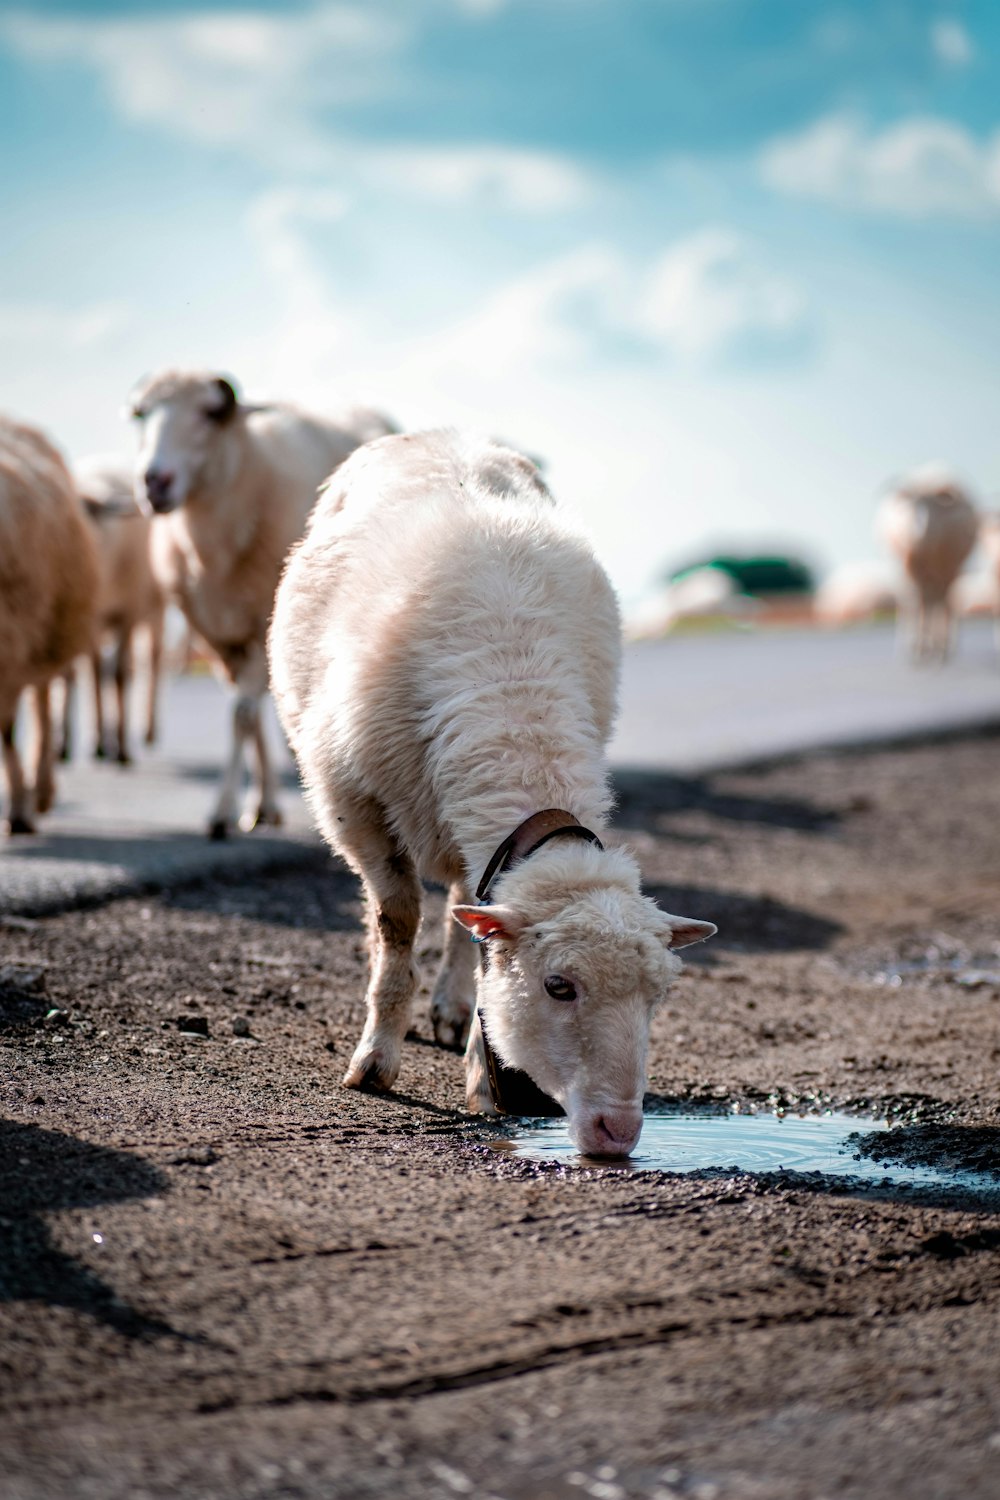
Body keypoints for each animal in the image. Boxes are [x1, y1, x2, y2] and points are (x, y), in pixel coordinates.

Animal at [62, 453, 166, 762]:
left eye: (91, 520)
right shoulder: (84, 621)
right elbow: (84, 674)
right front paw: (72, 743)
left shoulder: (128, 614)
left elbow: (119, 674)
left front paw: (121, 750)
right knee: (98, 672)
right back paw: (100, 740)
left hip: (155, 609)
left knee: (150, 661)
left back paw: (146, 731)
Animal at [131, 369, 395, 840]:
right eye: (140, 414)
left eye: (211, 413)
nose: (153, 481)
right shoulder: (218, 635)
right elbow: (250, 718)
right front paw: (258, 806)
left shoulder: (259, 624)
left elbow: (241, 715)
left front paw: (222, 811)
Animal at [269, 435, 716, 1158]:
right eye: (558, 986)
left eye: (658, 998)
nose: (618, 1132)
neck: (517, 705)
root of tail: (438, 432)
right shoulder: (353, 804)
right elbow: (397, 921)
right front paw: (375, 1061)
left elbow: (473, 933)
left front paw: (481, 1072)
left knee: (462, 901)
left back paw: (453, 1011)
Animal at [881, 465, 983, 660]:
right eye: (910, 502)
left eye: (930, 503)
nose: (918, 525)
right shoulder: (911, 566)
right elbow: (916, 602)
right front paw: (916, 649)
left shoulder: (949, 568)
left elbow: (942, 602)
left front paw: (937, 648)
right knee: (923, 600)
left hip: (949, 570)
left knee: (943, 600)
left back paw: (942, 647)